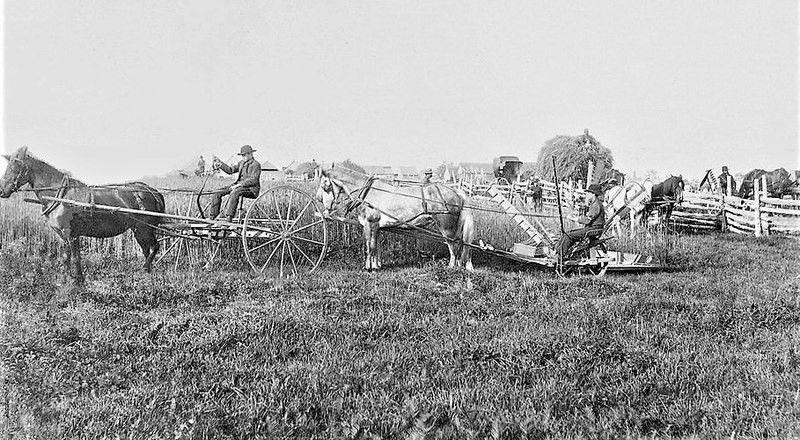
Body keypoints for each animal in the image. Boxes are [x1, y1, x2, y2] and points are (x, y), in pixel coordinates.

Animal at [0, 146, 166, 284]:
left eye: (17, 167)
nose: (2, 191)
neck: (60, 196)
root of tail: (151, 191)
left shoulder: (72, 234)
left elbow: (75, 257)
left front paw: (79, 280)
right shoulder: (62, 235)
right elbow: (65, 258)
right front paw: (65, 279)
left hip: (144, 228)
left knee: (154, 247)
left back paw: (144, 269)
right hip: (139, 230)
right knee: (147, 249)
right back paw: (147, 273)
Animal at [314, 163, 476, 270]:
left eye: (324, 184)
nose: (318, 199)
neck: (368, 193)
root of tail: (457, 191)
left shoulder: (369, 223)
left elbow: (369, 246)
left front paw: (369, 268)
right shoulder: (377, 227)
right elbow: (376, 246)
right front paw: (376, 265)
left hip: (446, 227)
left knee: (453, 246)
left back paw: (452, 267)